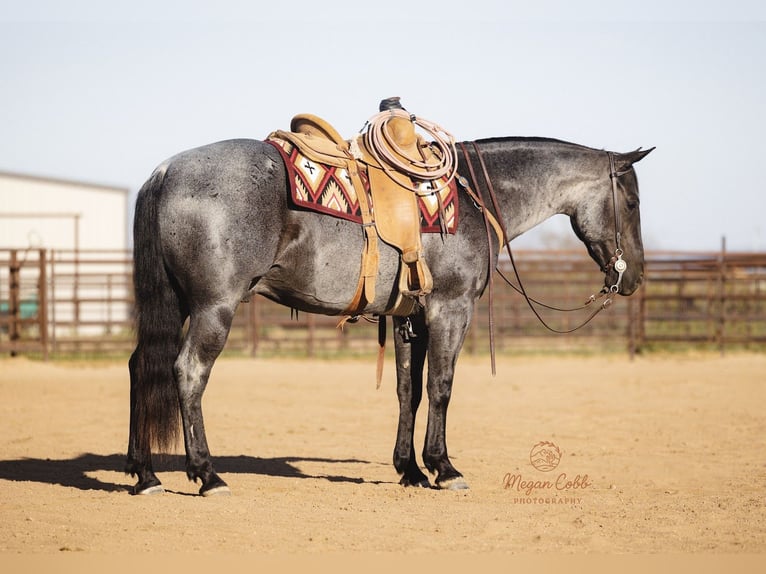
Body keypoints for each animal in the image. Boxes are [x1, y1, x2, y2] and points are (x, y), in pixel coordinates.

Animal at [126, 132, 652, 495]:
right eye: (631, 201)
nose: (634, 277)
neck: (473, 199)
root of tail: (165, 171)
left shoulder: (408, 320)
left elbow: (408, 392)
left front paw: (410, 469)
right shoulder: (449, 310)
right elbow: (441, 387)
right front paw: (444, 467)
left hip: (175, 304)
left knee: (143, 367)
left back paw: (145, 474)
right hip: (213, 307)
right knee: (188, 372)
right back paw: (206, 474)